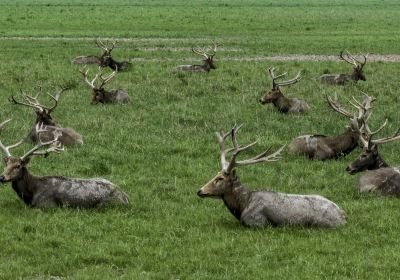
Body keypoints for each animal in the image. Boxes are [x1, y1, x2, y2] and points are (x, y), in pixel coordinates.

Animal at [0, 120, 129, 208]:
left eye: (18, 166)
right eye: (6, 164)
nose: (2, 177)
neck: (31, 193)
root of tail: (126, 198)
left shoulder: (46, 205)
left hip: (105, 205)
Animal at [197, 124, 346, 228]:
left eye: (220, 178)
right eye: (216, 174)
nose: (200, 191)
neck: (243, 205)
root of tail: (344, 216)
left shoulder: (256, 222)